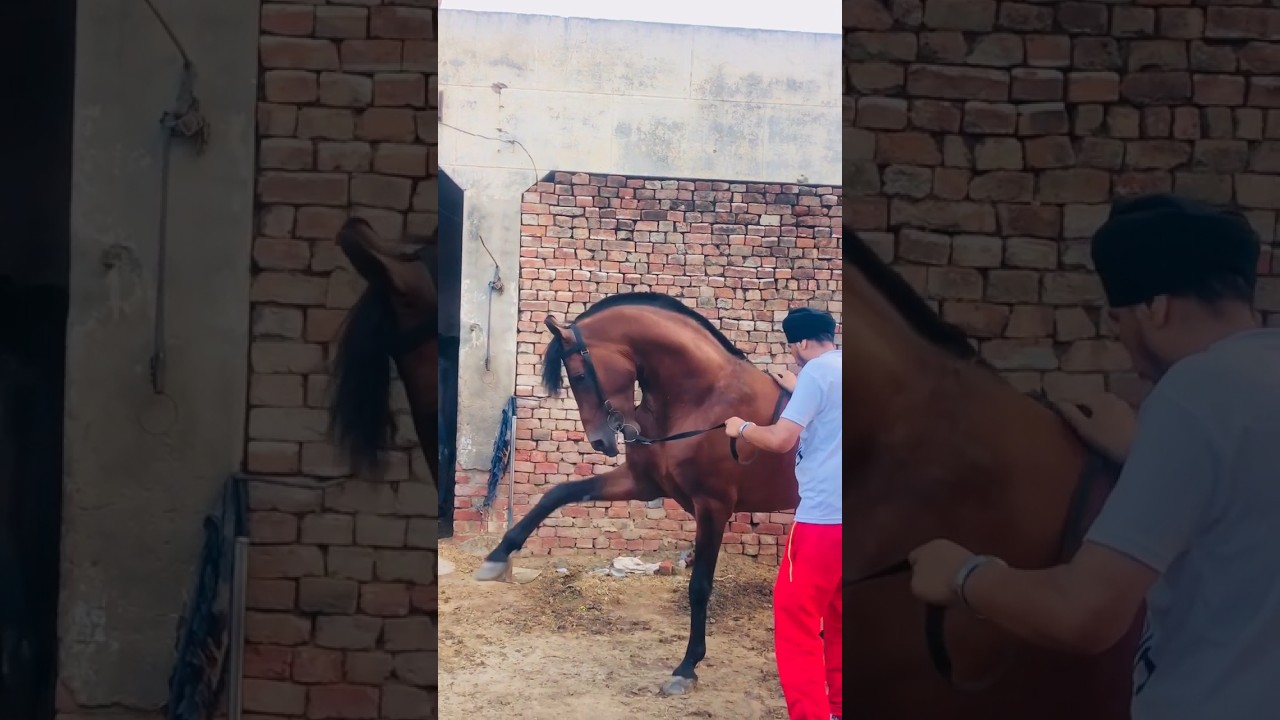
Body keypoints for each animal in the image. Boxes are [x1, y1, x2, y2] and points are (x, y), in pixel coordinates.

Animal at [473, 230, 1141, 717]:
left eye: (578, 372)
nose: (605, 439)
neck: (702, 400)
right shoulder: (648, 485)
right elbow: (560, 492)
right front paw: (498, 557)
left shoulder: (714, 506)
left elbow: (699, 586)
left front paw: (687, 668)